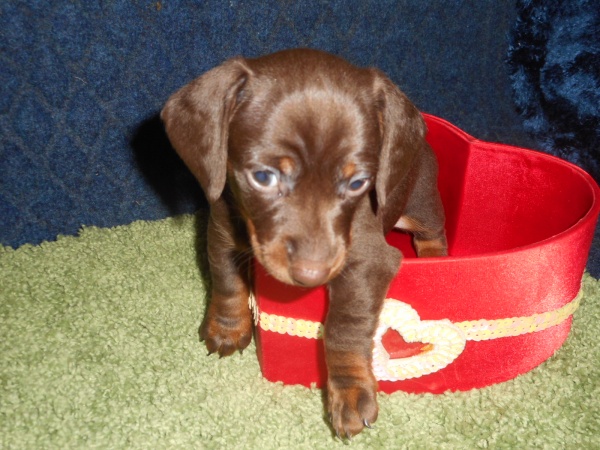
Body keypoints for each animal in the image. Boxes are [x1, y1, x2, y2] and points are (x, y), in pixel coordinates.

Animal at [162, 47, 448, 438]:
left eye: (358, 183)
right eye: (263, 177)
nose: (311, 275)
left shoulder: (366, 259)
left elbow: (344, 325)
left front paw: (350, 390)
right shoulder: (221, 230)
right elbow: (226, 281)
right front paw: (228, 327)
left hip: (420, 201)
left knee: (432, 231)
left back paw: (436, 255)